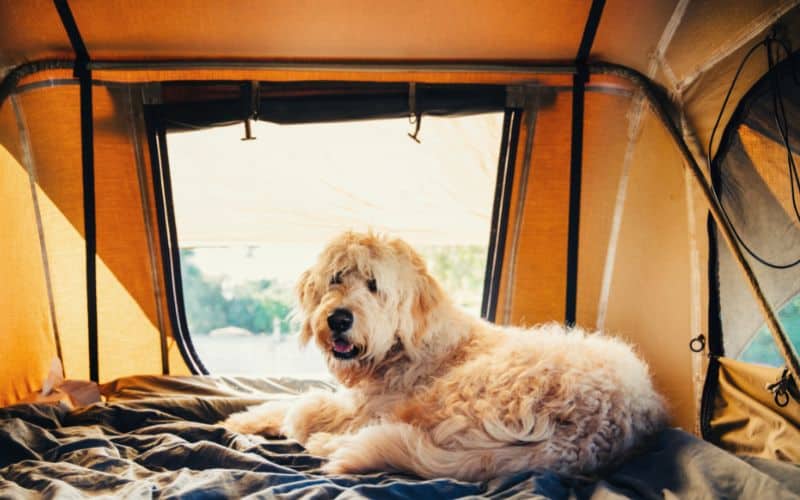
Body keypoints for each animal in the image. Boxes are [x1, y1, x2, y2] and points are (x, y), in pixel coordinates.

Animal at [222, 231, 664, 480]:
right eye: (336, 277)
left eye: (374, 285)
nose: (338, 319)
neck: (404, 347)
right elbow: (283, 402)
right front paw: (243, 419)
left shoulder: (365, 408)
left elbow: (301, 407)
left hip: (456, 393)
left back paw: (329, 445)